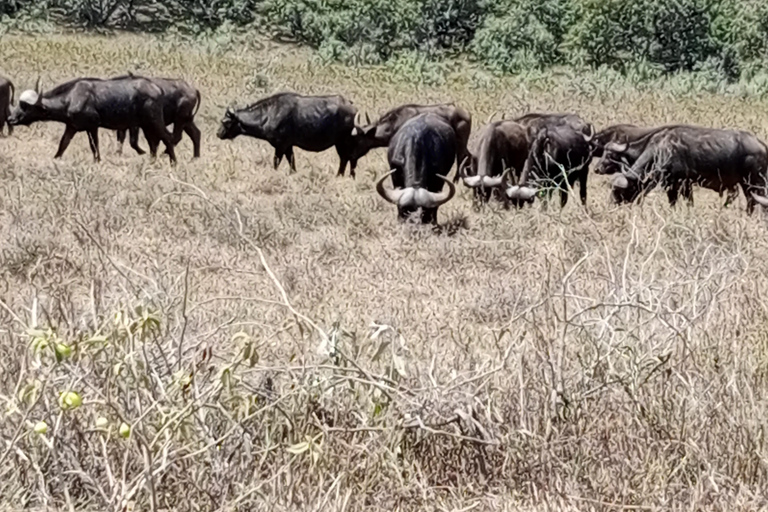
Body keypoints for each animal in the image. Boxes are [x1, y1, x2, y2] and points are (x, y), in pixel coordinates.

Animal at [8, 76, 176, 163]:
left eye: (25, 106)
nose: (10, 119)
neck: (71, 99)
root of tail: (157, 89)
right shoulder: (71, 127)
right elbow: (63, 144)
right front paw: (55, 158)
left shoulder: (92, 126)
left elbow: (94, 145)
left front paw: (97, 160)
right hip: (146, 125)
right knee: (153, 142)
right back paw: (152, 161)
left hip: (154, 121)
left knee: (167, 137)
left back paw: (173, 163)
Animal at [216, 93, 360, 177]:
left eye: (225, 121)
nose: (218, 133)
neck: (268, 114)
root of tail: (352, 106)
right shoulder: (288, 146)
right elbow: (292, 162)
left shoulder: (280, 146)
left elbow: (276, 162)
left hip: (343, 141)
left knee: (345, 158)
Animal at [608, 126, 768, 214]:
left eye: (619, 191)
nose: (611, 204)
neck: (662, 149)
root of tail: (762, 145)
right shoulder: (674, 185)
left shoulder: (681, 184)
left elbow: (683, 202)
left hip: (754, 182)